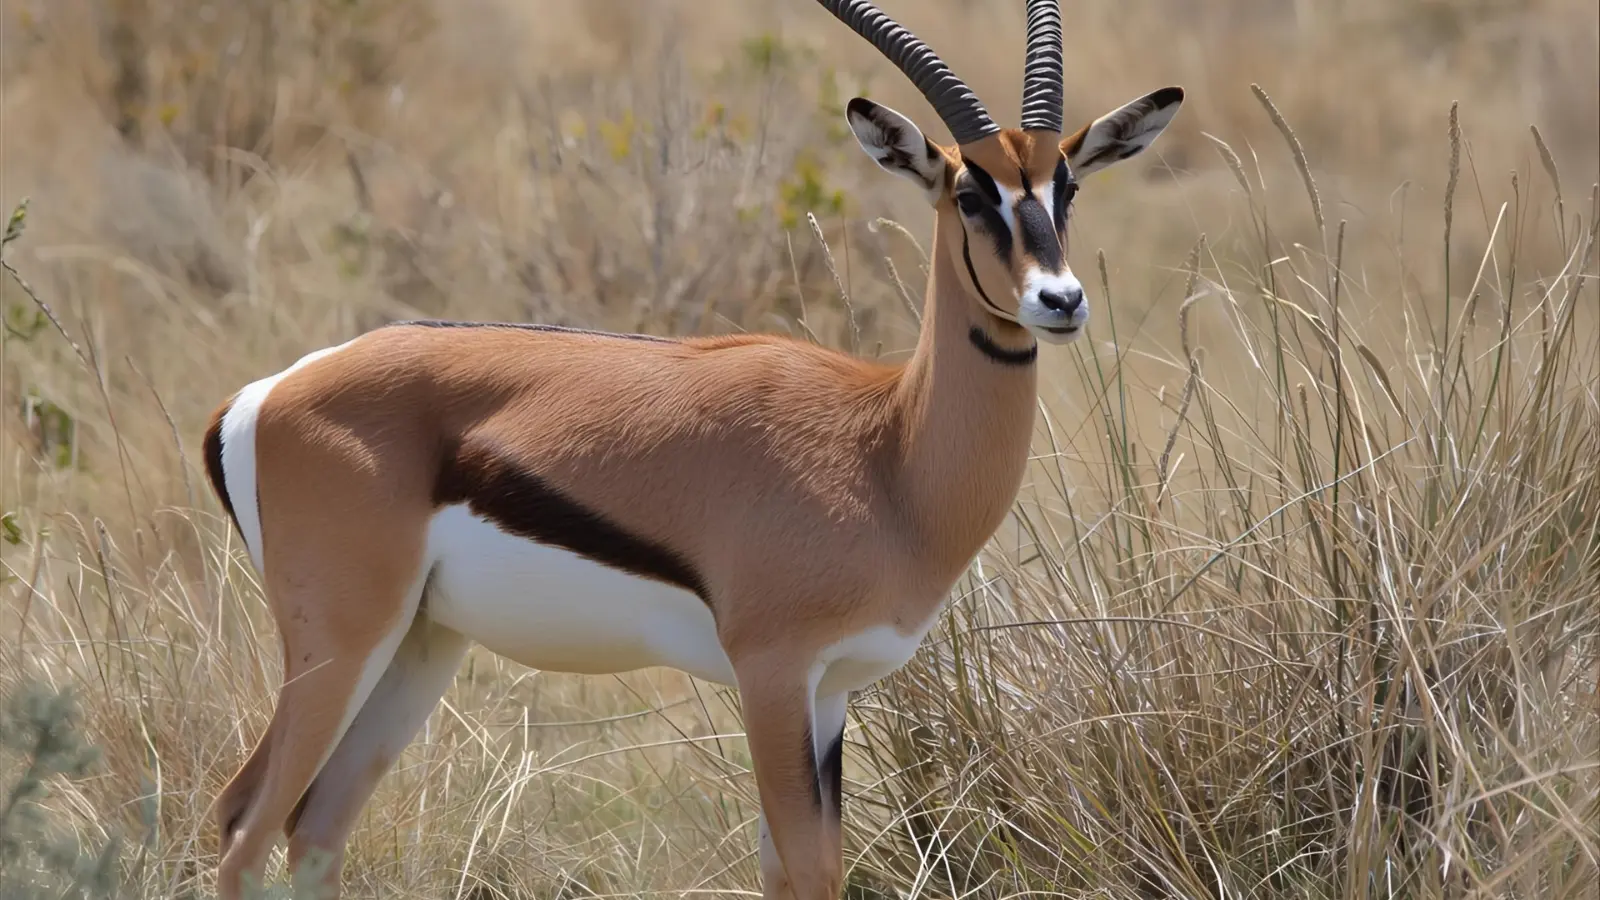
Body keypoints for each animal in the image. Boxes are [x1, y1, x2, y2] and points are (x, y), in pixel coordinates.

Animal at [200, 1, 1183, 897]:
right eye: (970, 193)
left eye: (1066, 188)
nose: (1060, 300)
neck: (887, 452)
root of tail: (265, 393)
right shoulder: (773, 673)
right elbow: (810, 868)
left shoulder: (831, 691)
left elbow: (796, 870)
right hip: (341, 645)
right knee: (245, 820)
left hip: (419, 643)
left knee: (315, 824)